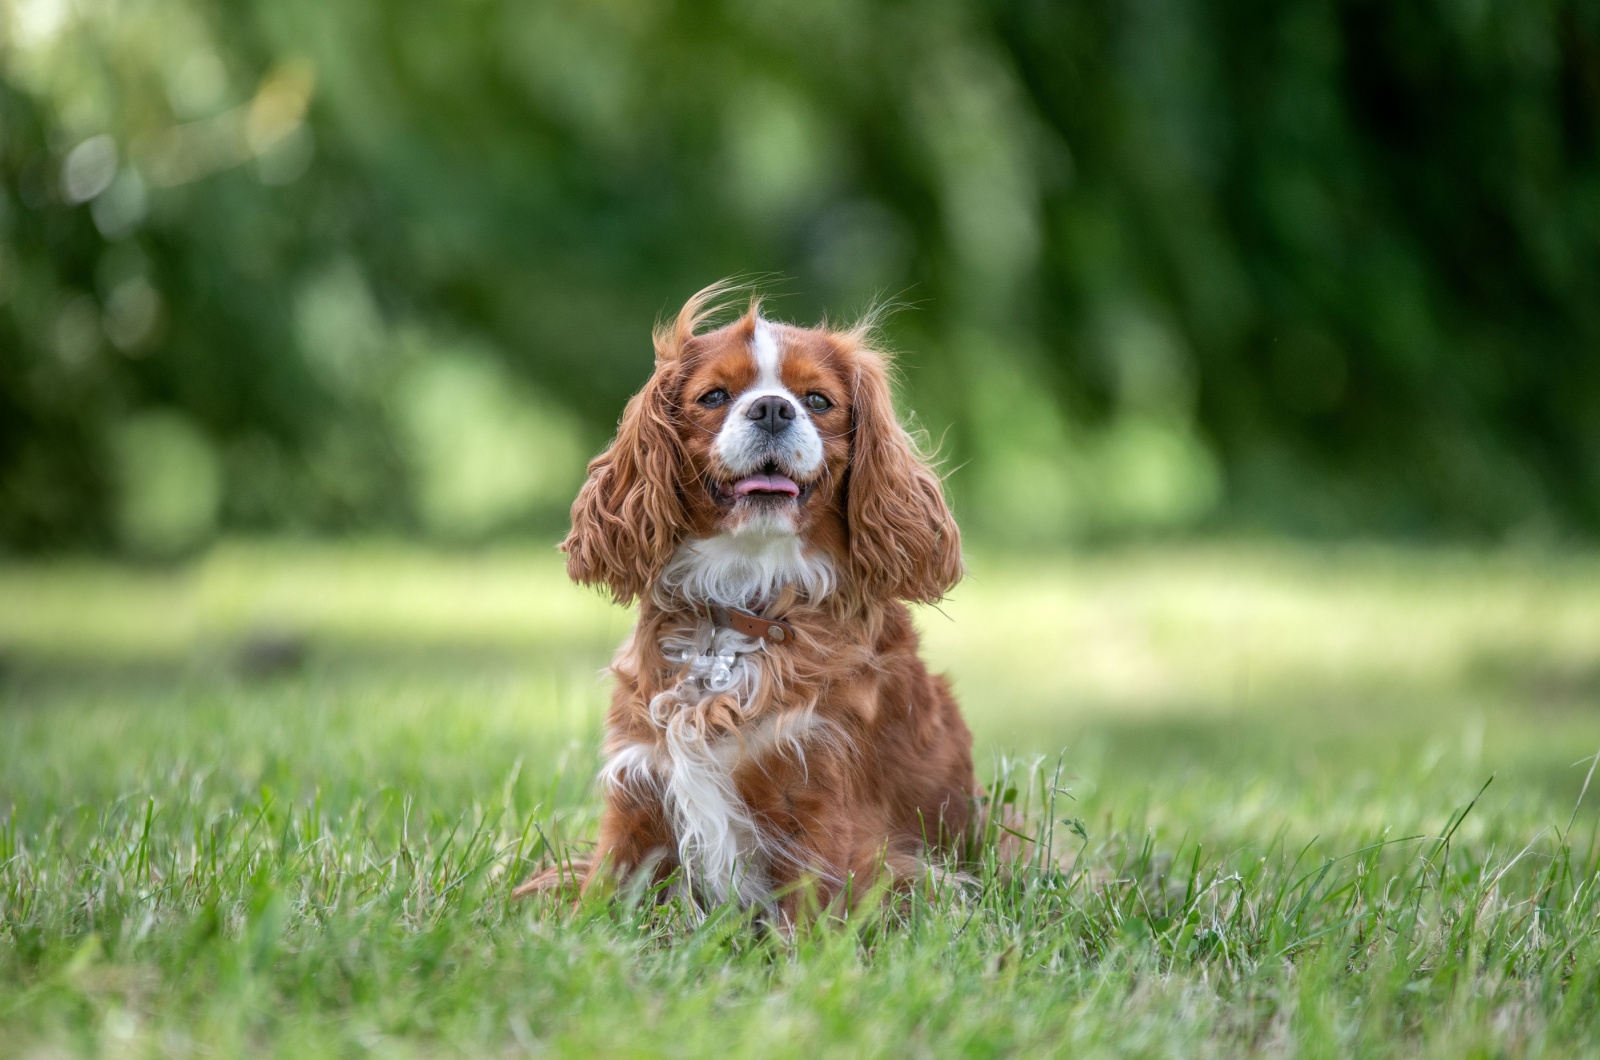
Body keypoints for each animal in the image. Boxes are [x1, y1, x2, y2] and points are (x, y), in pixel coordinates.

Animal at [518, 286, 979, 915]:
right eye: (714, 396)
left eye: (818, 400)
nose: (772, 409)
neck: (742, 600)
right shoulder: (638, 789)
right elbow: (598, 898)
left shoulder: (819, 793)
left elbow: (807, 913)